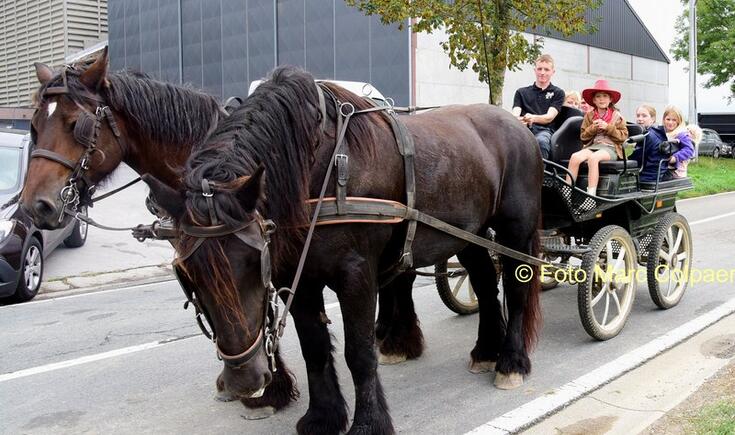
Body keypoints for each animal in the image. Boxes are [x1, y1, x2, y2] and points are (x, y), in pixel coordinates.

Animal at [144, 65, 543, 434]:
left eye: (254, 260)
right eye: (186, 273)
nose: (244, 381)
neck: (322, 166)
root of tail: (517, 124)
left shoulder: (356, 274)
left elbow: (359, 353)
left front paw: (368, 423)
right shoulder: (298, 277)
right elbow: (315, 347)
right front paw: (323, 417)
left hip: (515, 230)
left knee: (516, 287)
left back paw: (511, 362)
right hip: (467, 234)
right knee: (486, 284)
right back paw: (487, 351)